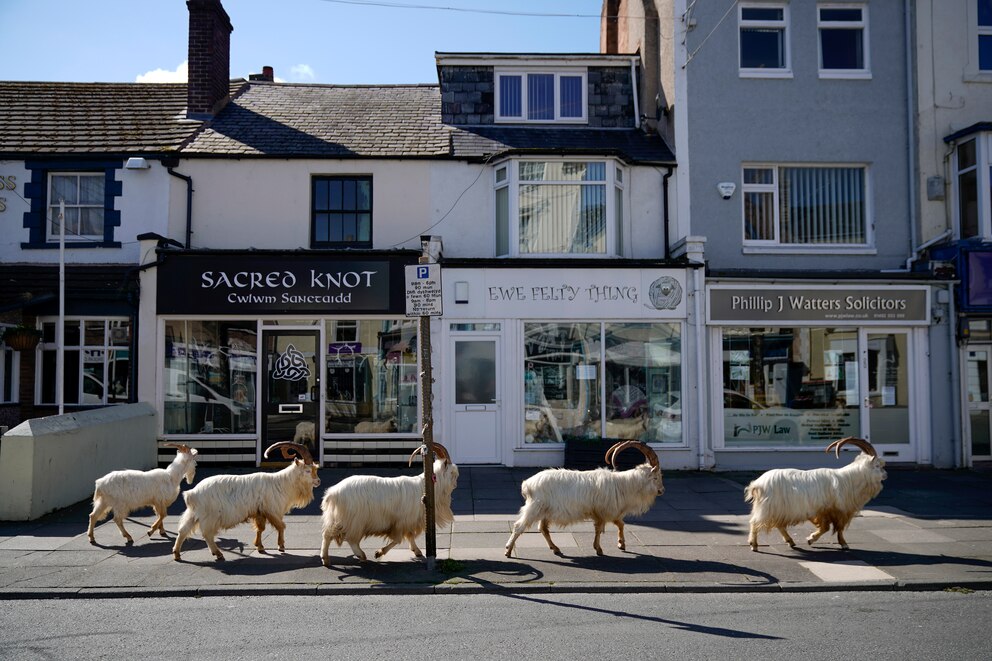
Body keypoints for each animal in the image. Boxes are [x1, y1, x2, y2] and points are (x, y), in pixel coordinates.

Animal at [172, 438, 320, 564]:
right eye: (308, 470)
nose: (318, 481)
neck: (281, 483)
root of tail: (192, 493)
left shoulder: (259, 512)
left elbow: (260, 528)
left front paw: (260, 547)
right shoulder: (272, 510)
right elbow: (281, 526)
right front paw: (281, 546)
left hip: (193, 514)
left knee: (183, 530)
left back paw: (177, 554)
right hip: (210, 516)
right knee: (207, 534)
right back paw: (218, 554)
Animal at [320, 440, 460, 564]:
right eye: (453, 473)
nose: (456, 484)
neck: (426, 487)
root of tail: (333, 493)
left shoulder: (408, 522)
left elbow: (410, 536)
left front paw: (417, 551)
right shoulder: (400, 522)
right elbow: (398, 539)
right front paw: (379, 552)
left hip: (338, 518)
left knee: (327, 534)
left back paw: (326, 559)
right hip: (355, 520)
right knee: (350, 539)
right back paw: (360, 555)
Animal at [504, 438, 668, 556]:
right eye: (656, 477)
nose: (662, 490)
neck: (623, 485)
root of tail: (528, 484)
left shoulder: (608, 512)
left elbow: (620, 524)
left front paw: (621, 544)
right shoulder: (603, 511)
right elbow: (600, 529)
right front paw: (599, 549)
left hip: (545, 511)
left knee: (543, 528)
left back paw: (555, 548)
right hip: (535, 508)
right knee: (519, 526)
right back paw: (508, 551)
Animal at [740, 438, 888, 552]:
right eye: (878, 465)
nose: (886, 475)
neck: (848, 480)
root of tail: (758, 484)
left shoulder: (831, 511)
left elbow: (832, 528)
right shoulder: (833, 510)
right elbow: (831, 528)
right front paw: (817, 540)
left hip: (778, 509)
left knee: (778, 524)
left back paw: (790, 541)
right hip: (769, 507)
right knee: (755, 522)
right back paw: (754, 545)